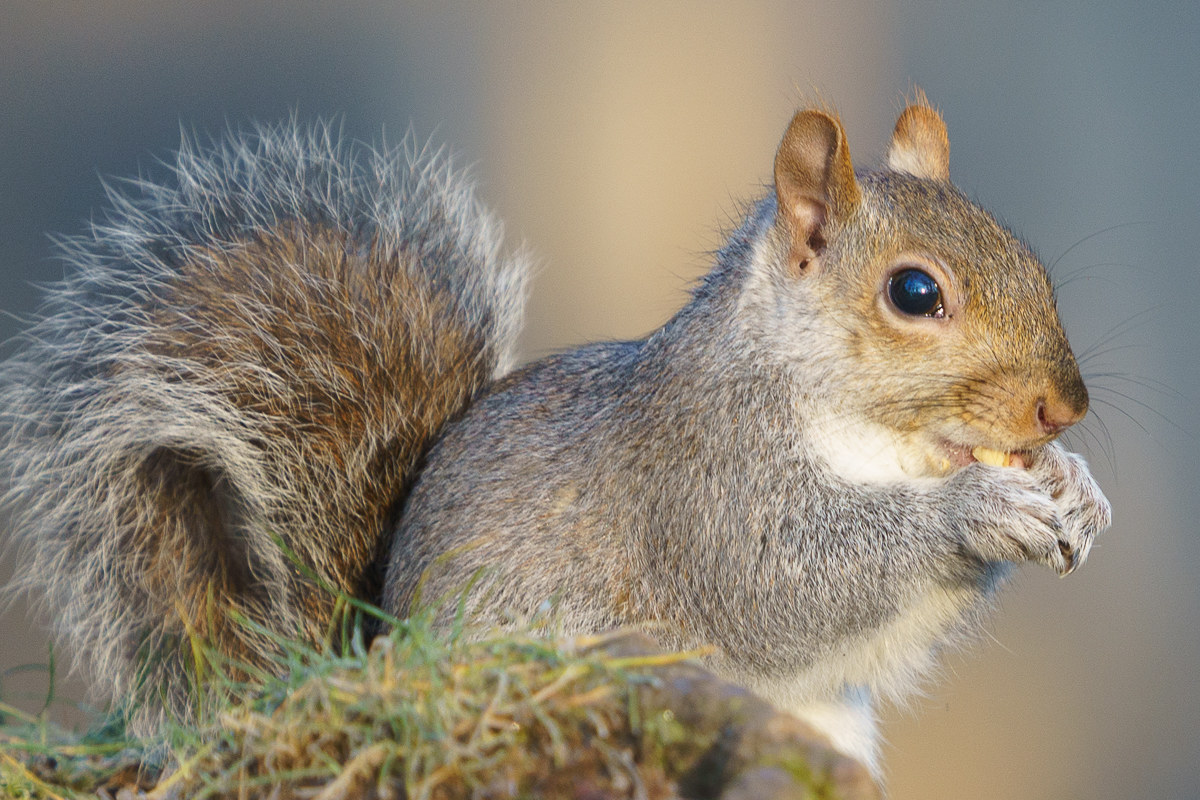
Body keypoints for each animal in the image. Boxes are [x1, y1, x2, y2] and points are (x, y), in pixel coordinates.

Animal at [0, 98, 1111, 776]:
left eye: (1025, 255)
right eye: (914, 293)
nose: (1064, 407)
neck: (872, 437)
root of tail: (375, 658)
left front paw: (1074, 484)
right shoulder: (707, 481)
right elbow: (788, 585)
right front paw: (982, 508)